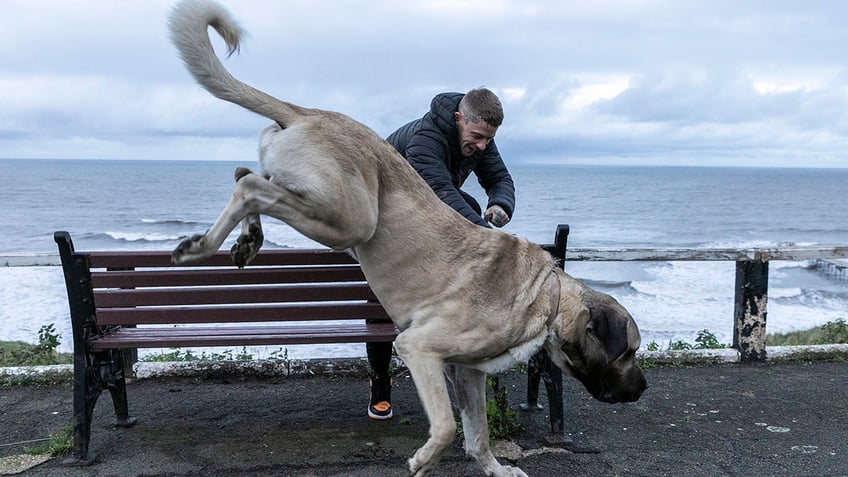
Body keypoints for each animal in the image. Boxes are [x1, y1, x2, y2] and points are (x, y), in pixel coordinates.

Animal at [167, 1, 644, 474]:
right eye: (628, 352)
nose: (641, 388)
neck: (546, 296)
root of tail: (310, 113)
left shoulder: (467, 373)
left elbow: (478, 435)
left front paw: (494, 468)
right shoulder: (419, 348)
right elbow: (448, 427)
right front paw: (423, 460)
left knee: (245, 173)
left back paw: (248, 238)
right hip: (350, 217)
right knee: (250, 186)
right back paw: (203, 245)